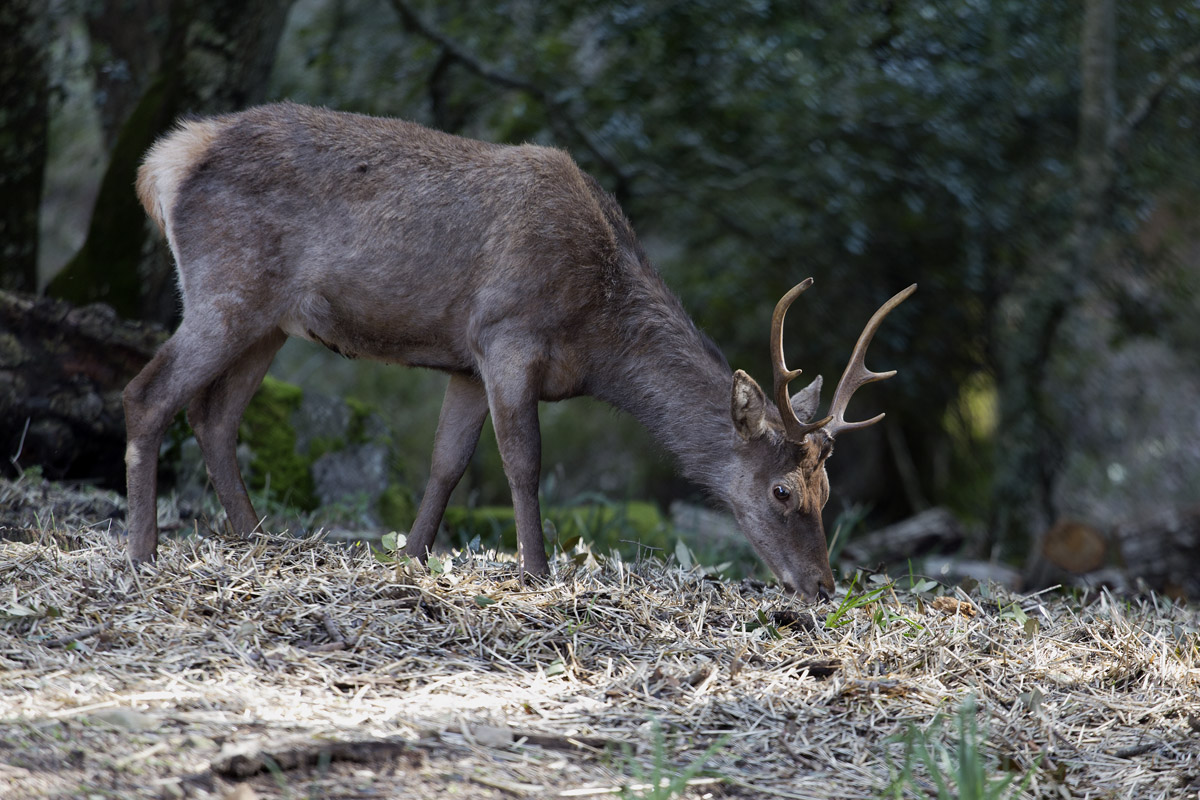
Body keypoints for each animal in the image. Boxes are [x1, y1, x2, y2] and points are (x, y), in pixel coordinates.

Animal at [126, 101, 914, 600]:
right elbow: (524, 463)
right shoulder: (506, 335)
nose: (822, 587)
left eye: (828, 492)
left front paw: (412, 558)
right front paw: (536, 573)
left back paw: (258, 541)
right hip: (227, 289)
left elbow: (446, 465)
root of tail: (164, 160)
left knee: (215, 416)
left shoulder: (465, 364)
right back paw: (143, 551)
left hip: (270, 321)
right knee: (148, 393)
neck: (600, 336)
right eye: (781, 490)